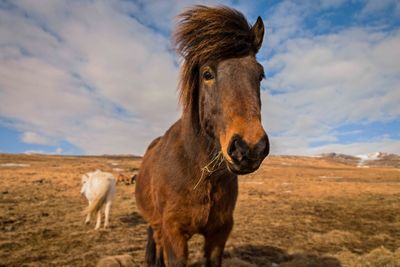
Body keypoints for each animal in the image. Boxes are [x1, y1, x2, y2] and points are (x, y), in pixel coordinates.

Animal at [136, 6, 270, 267]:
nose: (249, 148)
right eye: (207, 74)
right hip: (156, 225)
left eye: (260, 75)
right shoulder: (174, 234)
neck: (198, 170)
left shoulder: (219, 233)